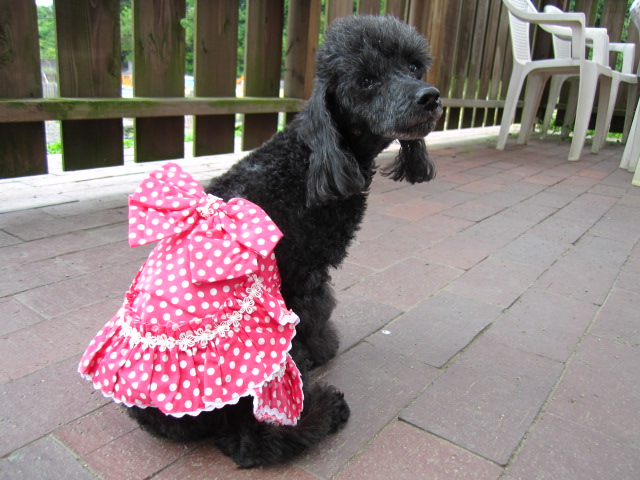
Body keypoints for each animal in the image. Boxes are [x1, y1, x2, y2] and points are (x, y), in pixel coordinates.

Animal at [125, 15, 442, 467]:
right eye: (366, 80)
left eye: (415, 67)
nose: (429, 97)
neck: (313, 158)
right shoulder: (304, 272)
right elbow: (315, 313)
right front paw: (321, 349)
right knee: (253, 441)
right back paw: (324, 412)